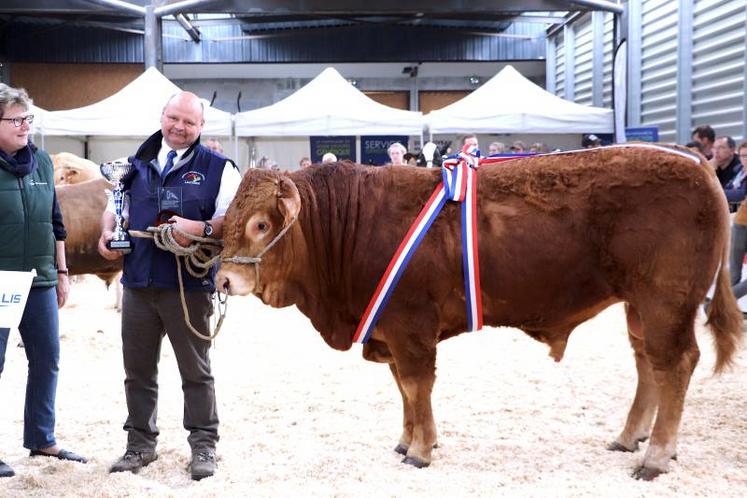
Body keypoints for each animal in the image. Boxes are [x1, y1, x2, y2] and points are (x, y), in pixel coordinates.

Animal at [215, 144, 744, 478]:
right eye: (225, 221)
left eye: (261, 223)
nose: (223, 280)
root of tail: (694, 162)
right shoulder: (387, 329)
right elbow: (402, 390)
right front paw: (407, 439)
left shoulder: (409, 325)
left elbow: (416, 385)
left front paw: (421, 450)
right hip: (639, 307)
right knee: (647, 365)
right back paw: (630, 436)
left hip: (665, 301)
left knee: (674, 364)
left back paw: (655, 455)